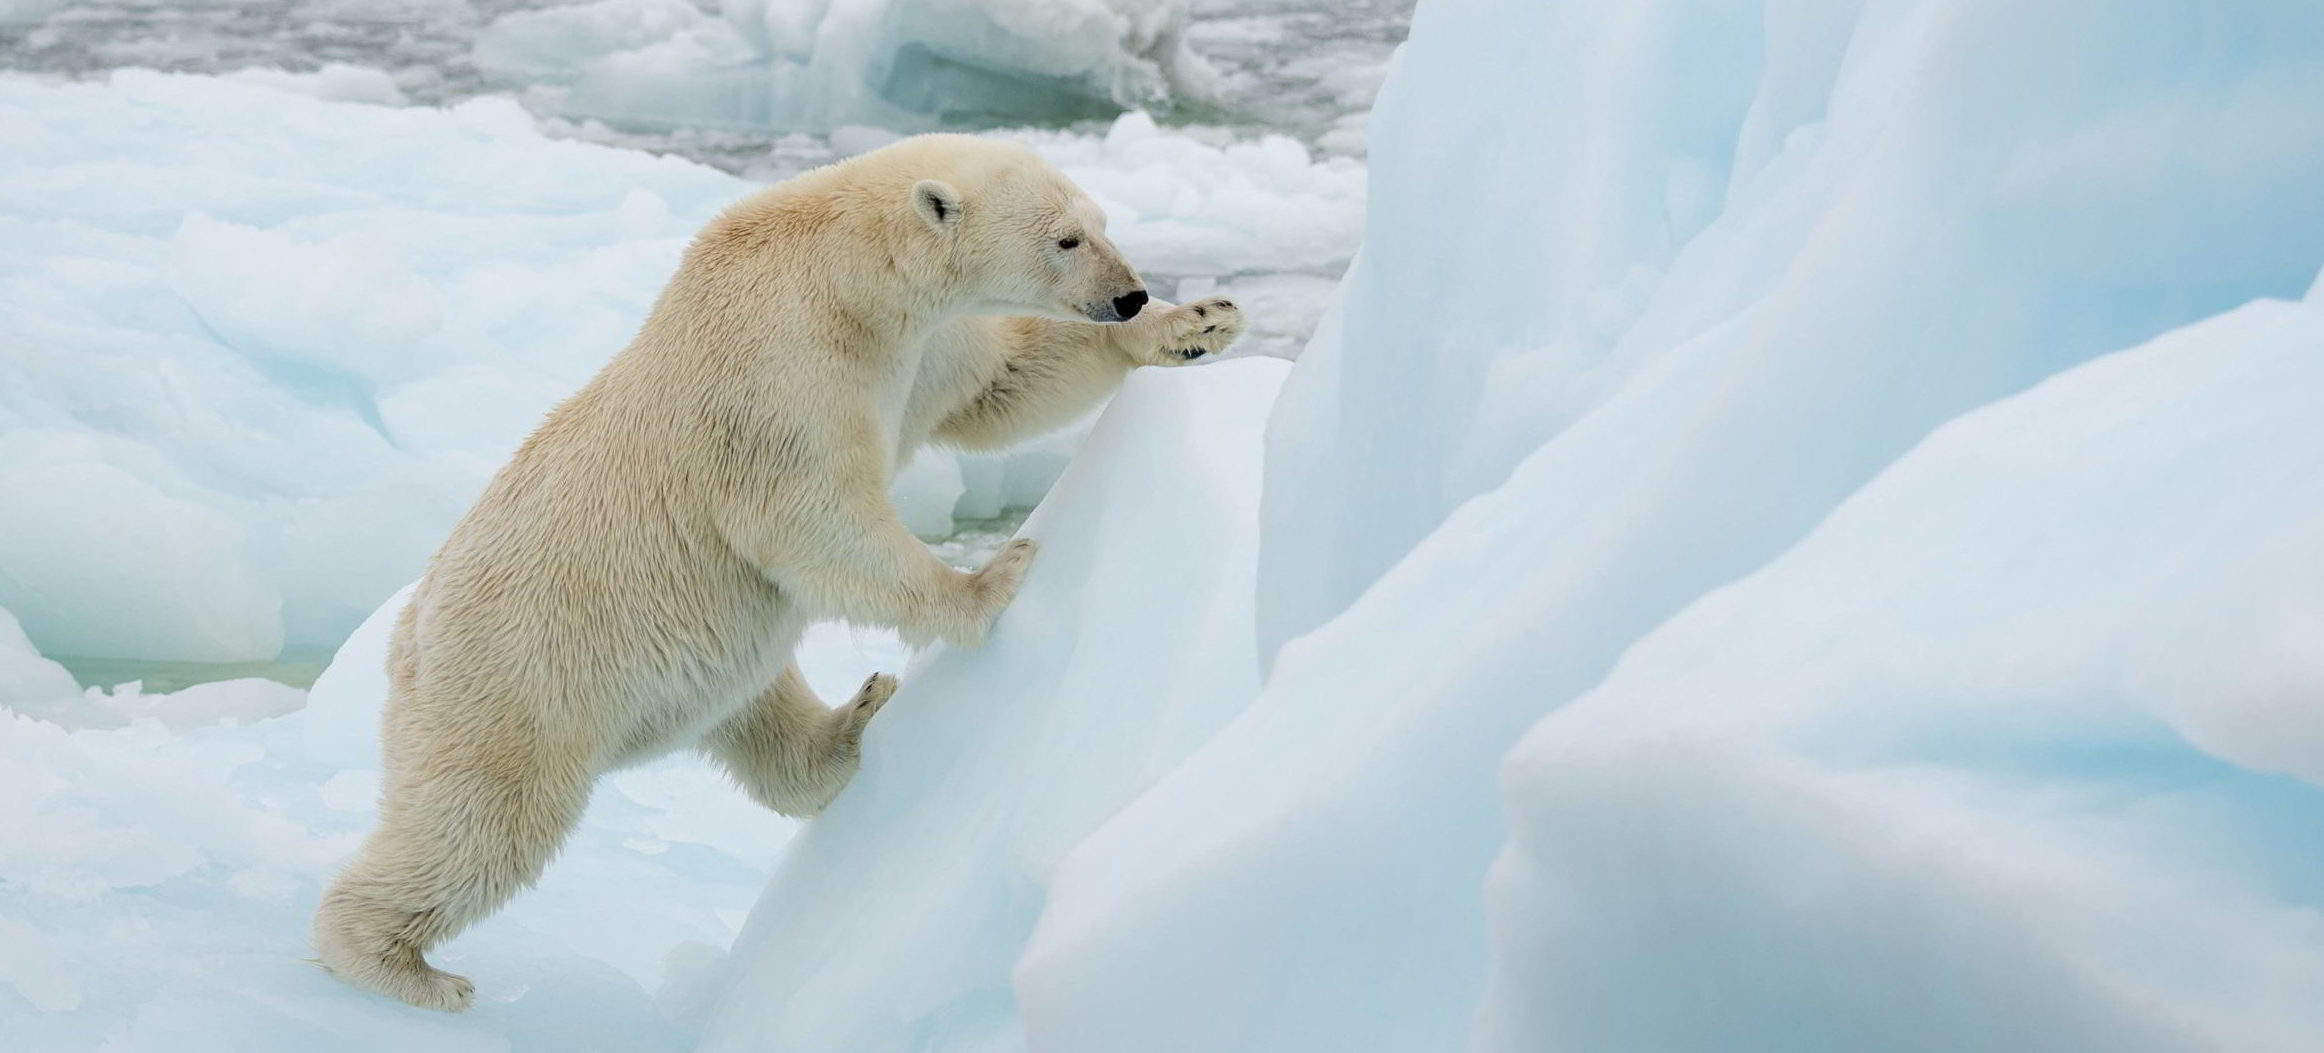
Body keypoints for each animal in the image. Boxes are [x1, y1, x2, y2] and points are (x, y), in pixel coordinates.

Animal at [323, 133, 1254, 1008]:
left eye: (1101, 221)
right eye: (1065, 238)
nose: (1128, 292)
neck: (842, 276)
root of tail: (406, 638)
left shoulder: (914, 351)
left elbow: (1000, 381)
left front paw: (1199, 321)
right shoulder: (780, 371)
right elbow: (808, 515)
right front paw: (989, 581)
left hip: (688, 666)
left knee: (757, 715)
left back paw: (856, 715)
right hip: (518, 682)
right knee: (484, 821)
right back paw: (396, 963)